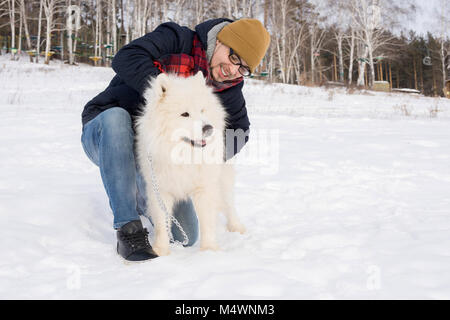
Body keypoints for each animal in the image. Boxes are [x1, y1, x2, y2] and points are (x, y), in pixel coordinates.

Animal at [135, 71, 246, 256]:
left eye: (202, 110)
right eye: (185, 114)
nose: (208, 128)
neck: (183, 155)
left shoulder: (205, 187)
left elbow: (207, 221)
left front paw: (209, 250)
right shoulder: (160, 189)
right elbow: (162, 223)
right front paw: (160, 250)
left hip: (222, 178)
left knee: (229, 203)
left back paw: (237, 227)